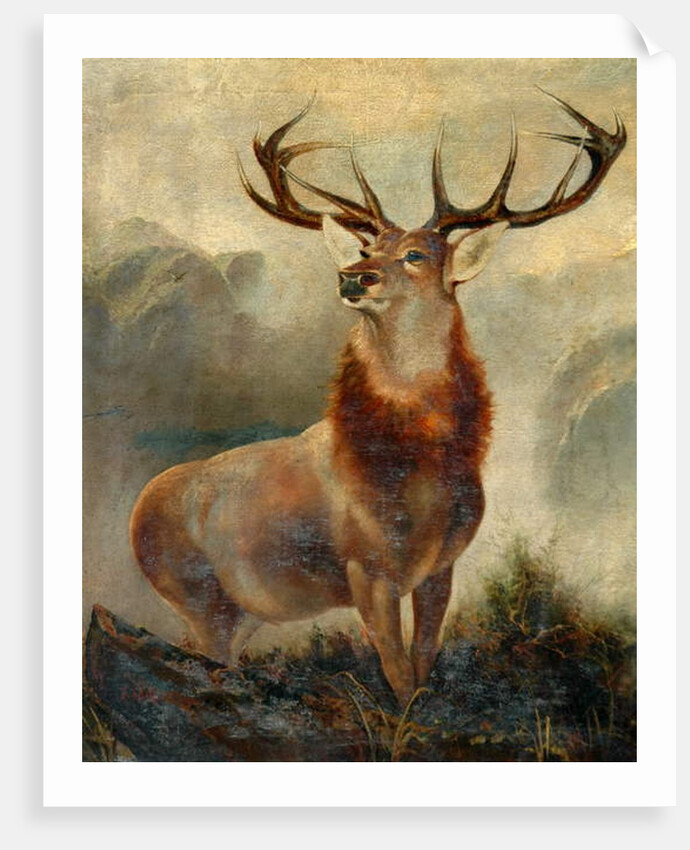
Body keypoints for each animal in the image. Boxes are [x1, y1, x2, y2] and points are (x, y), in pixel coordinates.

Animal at [130, 92, 625, 706]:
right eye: (369, 246)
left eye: (416, 255)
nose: (352, 275)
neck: (421, 469)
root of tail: (138, 510)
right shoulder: (366, 566)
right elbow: (396, 670)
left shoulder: (442, 565)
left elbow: (423, 658)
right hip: (196, 594)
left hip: (241, 611)